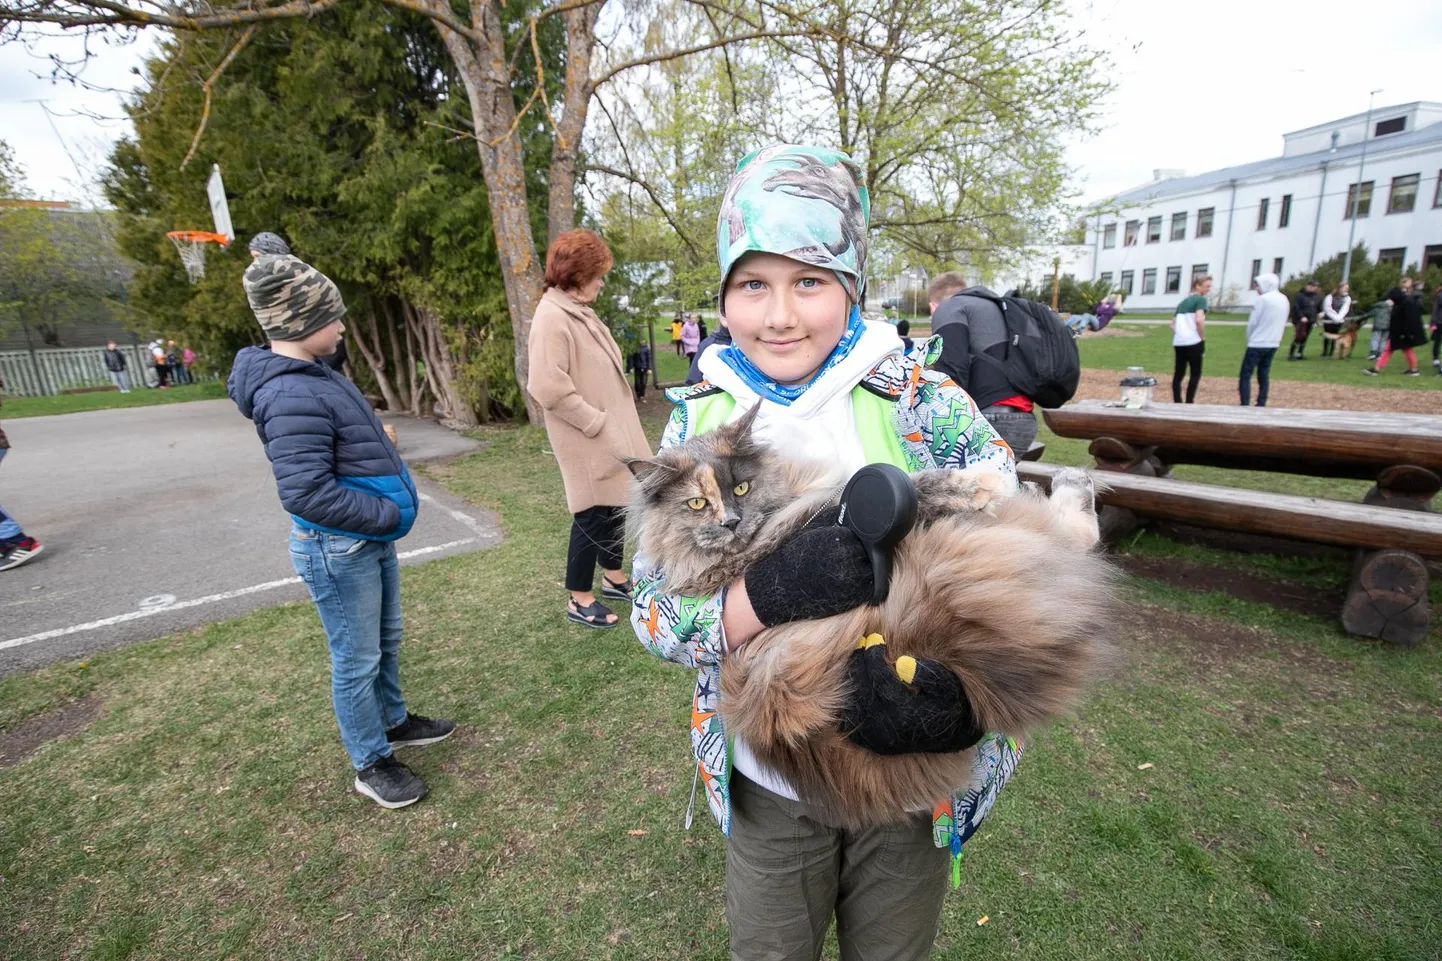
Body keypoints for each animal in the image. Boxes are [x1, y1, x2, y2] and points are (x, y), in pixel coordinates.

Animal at [628, 404, 1113, 825]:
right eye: (696, 504)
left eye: (741, 488)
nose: (730, 521)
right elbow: (923, 485)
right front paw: (982, 483)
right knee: (1072, 535)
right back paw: (1062, 486)